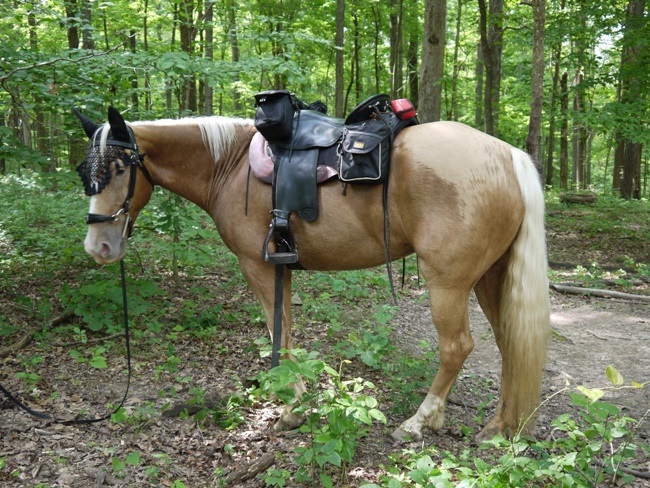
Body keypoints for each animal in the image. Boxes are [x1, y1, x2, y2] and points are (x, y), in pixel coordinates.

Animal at [73, 107, 548, 442]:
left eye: (118, 169)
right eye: (84, 172)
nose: (98, 247)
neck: (229, 166)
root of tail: (507, 156)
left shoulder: (257, 265)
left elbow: (278, 333)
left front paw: (290, 409)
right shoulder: (281, 267)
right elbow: (288, 333)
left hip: (448, 283)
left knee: (456, 348)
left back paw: (419, 422)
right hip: (490, 278)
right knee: (509, 343)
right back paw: (499, 427)